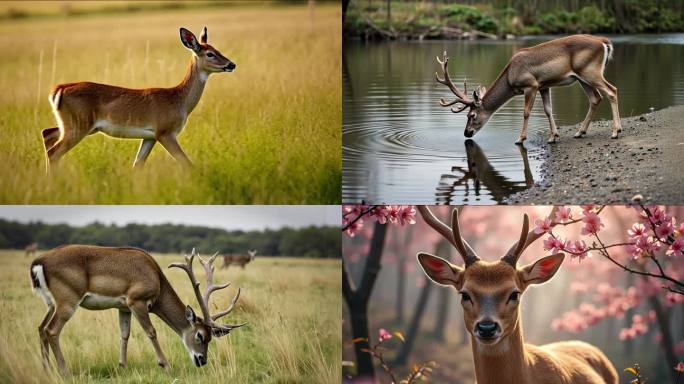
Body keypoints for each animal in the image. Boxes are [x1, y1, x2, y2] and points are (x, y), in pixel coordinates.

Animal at [32, 246, 246, 376]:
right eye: (200, 335)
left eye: (211, 337)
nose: (202, 360)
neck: (156, 278)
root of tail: (38, 263)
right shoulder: (137, 301)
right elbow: (151, 331)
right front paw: (166, 365)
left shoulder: (123, 307)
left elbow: (124, 334)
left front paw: (122, 366)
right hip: (68, 301)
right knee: (52, 330)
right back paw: (64, 372)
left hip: (51, 303)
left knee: (41, 328)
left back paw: (46, 370)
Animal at [42, 26, 236, 170]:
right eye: (210, 53)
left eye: (218, 49)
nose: (231, 64)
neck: (178, 100)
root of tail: (59, 89)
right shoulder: (165, 132)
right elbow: (187, 164)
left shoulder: (150, 137)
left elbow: (137, 165)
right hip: (79, 125)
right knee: (53, 152)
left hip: (75, 125)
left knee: (47, 134)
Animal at [436, 34, 624, 145]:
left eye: (471, 115)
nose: (466, 133)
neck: (510, 77)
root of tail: (604, 43)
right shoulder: (544, 86)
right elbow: (548, 110)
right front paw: (553, 136)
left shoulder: (530, 85)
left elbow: (526, 112)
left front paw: (520, 138)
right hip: (582, 77)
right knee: (596, 98)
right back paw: (580, 132)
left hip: (590, 71)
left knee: (612, 90)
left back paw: (616, 131)